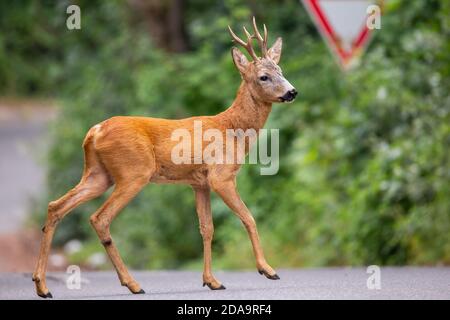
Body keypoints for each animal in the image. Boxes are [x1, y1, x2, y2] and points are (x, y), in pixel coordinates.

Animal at [33, 16, 298, 298]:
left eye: (281, 70)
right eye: (263, 76)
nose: (292, 92)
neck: (232, 129)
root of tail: (95, 131)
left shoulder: (199, 183)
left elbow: (206, 228)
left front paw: (211, 280)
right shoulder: (221, 176)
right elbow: (248, 218)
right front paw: (267, 269)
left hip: (98, 174)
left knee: (56, 206)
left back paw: (42, 285)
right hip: (133, 172)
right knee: (100, 218)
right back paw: (133, 284)